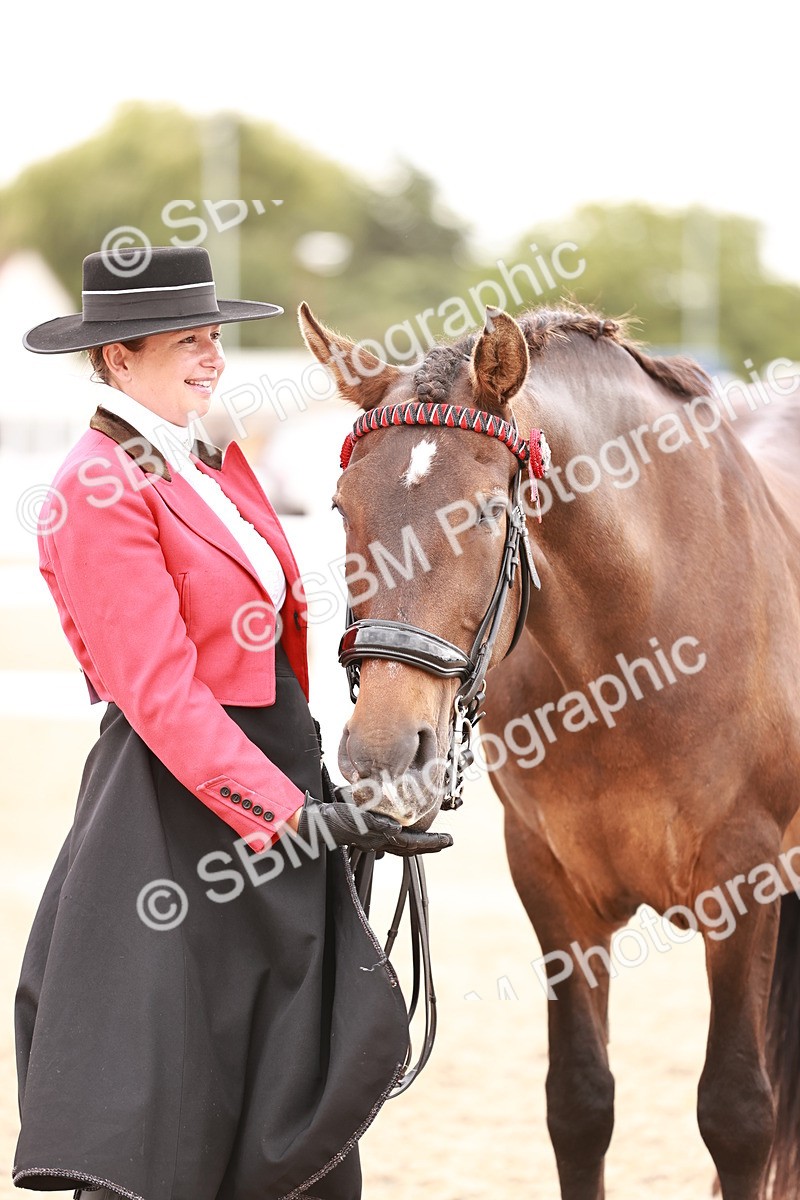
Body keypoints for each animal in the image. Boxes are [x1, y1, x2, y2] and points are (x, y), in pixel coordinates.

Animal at [298, 300, 800, 1200]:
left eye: (485, 513)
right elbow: (579, 1103)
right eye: (341, 509)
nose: (385, 755)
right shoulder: (550, 880)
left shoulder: (746, 880)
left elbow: (739, 1113)